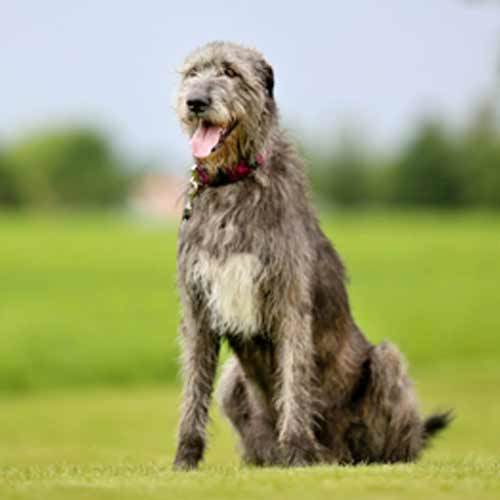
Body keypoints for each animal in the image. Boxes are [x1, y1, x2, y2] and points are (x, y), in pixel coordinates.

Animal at [174, 41, 452, 470]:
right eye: (191, 73)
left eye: (230, 72)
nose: (196, 102)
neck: (233, 182)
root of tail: (338, 453)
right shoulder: (197, 306)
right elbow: (193, 388)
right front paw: (184, 460)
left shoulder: (289, 298)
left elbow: (294, 378)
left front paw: (297, 451)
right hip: (232, 381)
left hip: (386, 364)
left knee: (394, 434)